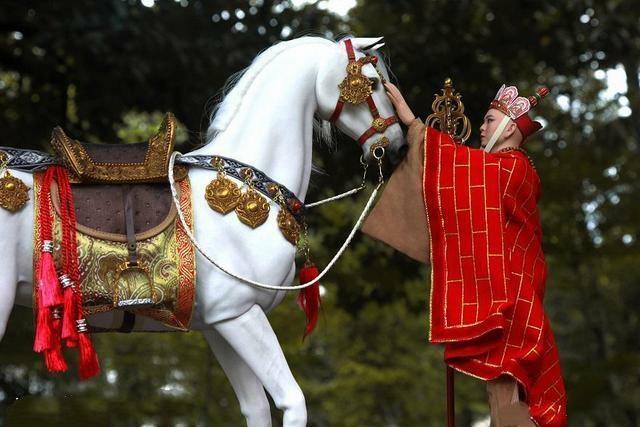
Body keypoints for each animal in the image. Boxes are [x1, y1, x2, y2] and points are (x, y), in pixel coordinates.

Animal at [0, 35, 402, 426]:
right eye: (374, 82)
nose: (397, 148)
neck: (250, 182)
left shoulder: (221, 323)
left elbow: (256, 408)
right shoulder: (242, 314)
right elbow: (293, 401)